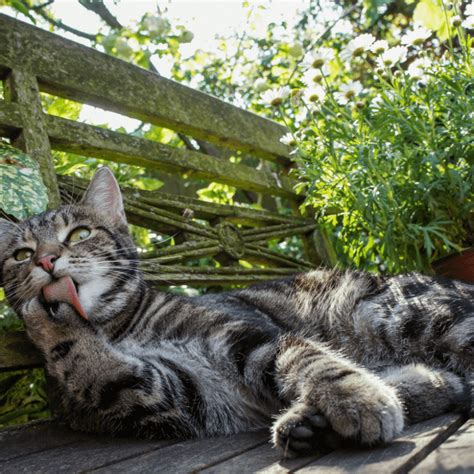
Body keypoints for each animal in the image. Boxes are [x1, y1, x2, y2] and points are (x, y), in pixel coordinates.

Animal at [0, 168, 472, 458]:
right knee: (442, 380)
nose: (46, 261)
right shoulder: (176, 397)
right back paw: (314, 422)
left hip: (401, 314)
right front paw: (48, 323)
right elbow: (98, 372)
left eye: (79, 234)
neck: (112, 328)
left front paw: (356, 397)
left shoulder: (247, 337)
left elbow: (312, 360)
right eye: (21, 255)